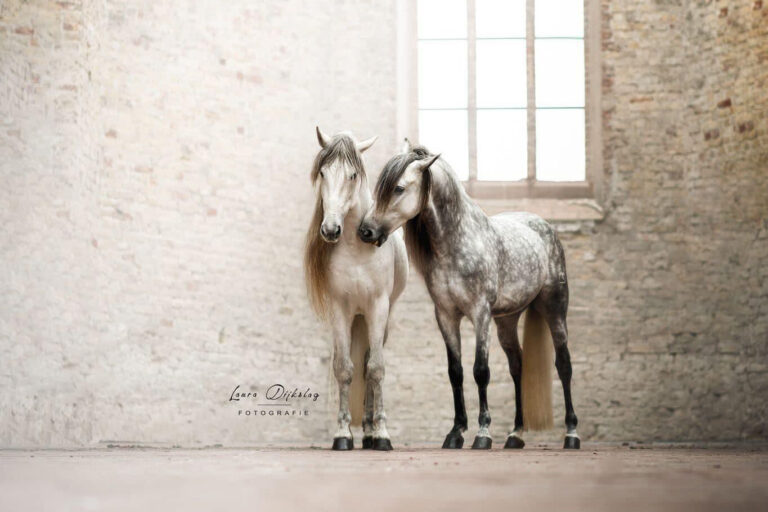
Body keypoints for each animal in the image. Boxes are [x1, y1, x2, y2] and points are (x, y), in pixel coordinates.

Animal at [304, 128, 408, 452]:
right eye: (323, 172)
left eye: (352, 175)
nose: (330, 229)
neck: (357, 249)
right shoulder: (340, 309)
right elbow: (344, 369)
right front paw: (342, 434)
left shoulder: (378, 307)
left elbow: (375, 369)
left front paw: (382, 434)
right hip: (357, 318)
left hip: (380, 318)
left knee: (370, 366)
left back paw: (373, 434)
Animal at [360, 139, 584, 448]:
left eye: (399, 188)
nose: (365, 231)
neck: (457, 243)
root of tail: (544, 226)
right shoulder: (446, 316)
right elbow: (456, 372)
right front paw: (455, 432)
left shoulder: (480, 313)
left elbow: (481, 371)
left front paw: (483, 433)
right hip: (507, 320)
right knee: (517, 365)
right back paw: (515, 434)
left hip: (554, 307)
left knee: (564, 364)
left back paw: (571, 433)